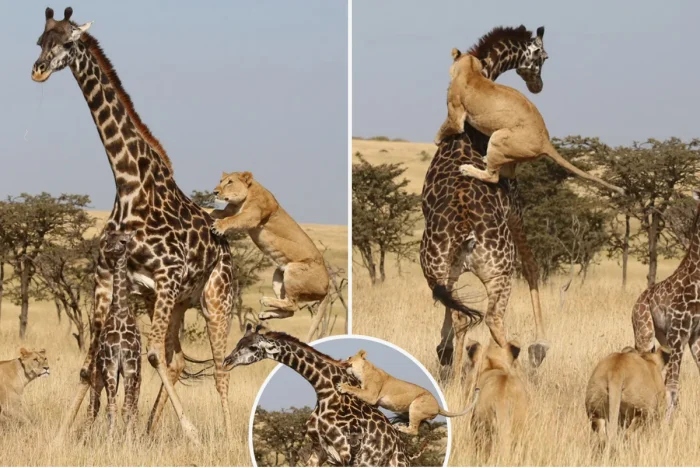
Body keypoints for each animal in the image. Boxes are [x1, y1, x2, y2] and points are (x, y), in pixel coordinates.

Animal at [87, 229, 141, 436]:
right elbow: (112, 407)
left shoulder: (130, 365)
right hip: (105, 373)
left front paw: (128, 440)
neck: (120, 311)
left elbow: (127, 408)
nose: (109, 250)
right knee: (100, 405)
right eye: (109, 237)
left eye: (124, 241)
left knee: (133, 406)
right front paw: (111, 439)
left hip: (134, 374)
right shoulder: (110, 364)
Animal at [224, 325, 414, 467]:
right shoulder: (319, 451)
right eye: (238, 342)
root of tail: (400, 447)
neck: (324, 390)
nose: (227, 362)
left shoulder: (347, 451)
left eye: (253, 347)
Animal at [420, 26, 550, 374]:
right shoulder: (515, 208)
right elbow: (532, 266)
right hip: (499, 272)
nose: (538, 85)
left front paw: (444, 351)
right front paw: (540, 345)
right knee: (490, 318)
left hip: (436, 267)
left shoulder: (449, 271)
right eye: (543, 58)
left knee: (461, 313)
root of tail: (466, 228)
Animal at [633, 190, 700, 421]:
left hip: (661, 338)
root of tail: (636, 304)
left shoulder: (695, 336)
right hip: (645, 333)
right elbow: (672, 385)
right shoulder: (678, 336)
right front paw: (667, 422)